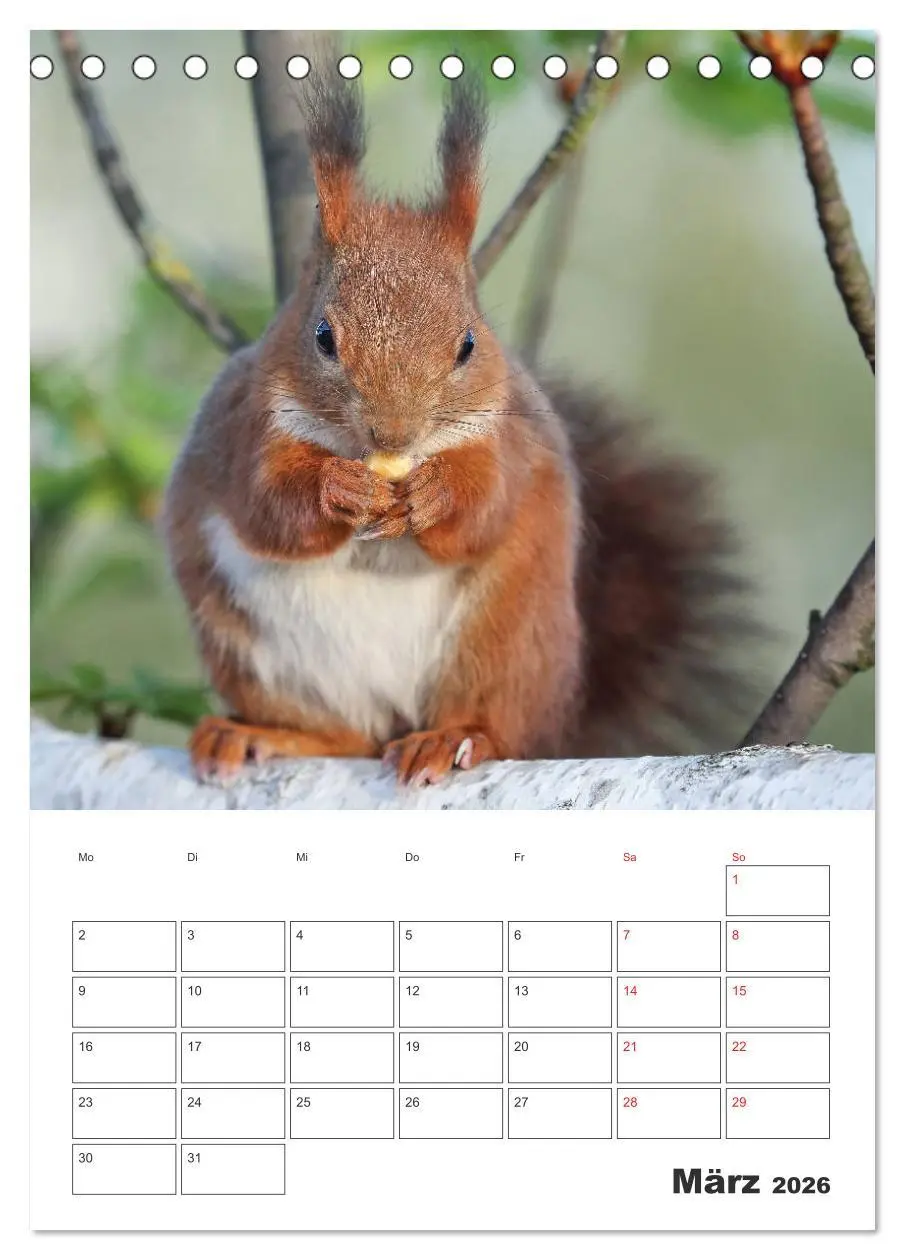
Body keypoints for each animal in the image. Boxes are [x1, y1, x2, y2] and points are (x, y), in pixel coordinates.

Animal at [162, 66, 757, 788]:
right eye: (323, 337)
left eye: (468, 344)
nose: (393, 434)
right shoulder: (245, 426)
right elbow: (265, 505)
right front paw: (339, 488)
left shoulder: (506, 440)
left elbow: (486, 506)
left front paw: (433, 495)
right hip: (254, 653)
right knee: (342, 736)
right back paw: (260, 734)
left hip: (504, 643)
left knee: (493, 724)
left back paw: (452, 739)